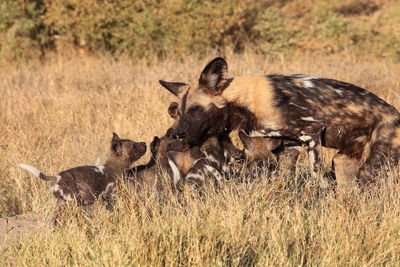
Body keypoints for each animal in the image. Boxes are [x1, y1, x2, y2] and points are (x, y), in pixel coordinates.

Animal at [18, 133, 146, 221]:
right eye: (134, 146)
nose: (144, 143)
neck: (114, 167)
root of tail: (57, 178)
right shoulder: (108, 197)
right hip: (72, 203)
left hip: (62, 204)